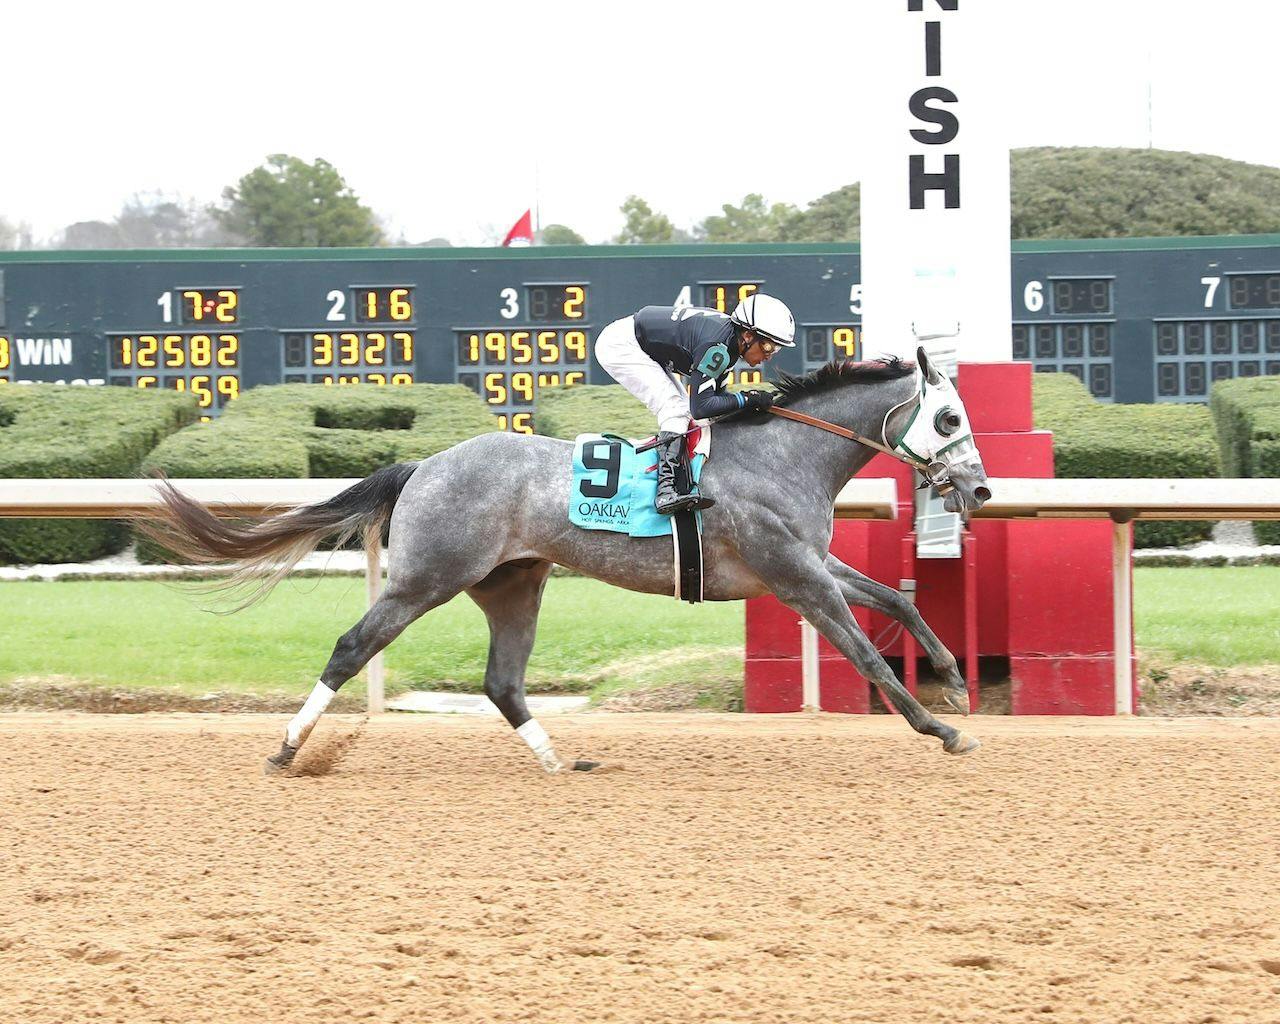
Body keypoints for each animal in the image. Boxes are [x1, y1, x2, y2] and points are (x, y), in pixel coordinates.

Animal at [145, 348, 993, 773]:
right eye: (949, 417)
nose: (980, 488)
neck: (780, 454)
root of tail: (421, 466)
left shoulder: (812, 564)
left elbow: (899, 600)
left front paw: (954, 682)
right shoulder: (794, 576)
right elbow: (865, 653)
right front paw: (938, 728)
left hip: (513, 585)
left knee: (502, 681)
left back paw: (557, 759)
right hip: (425, 579)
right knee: (354, 647)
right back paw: (289, 749)